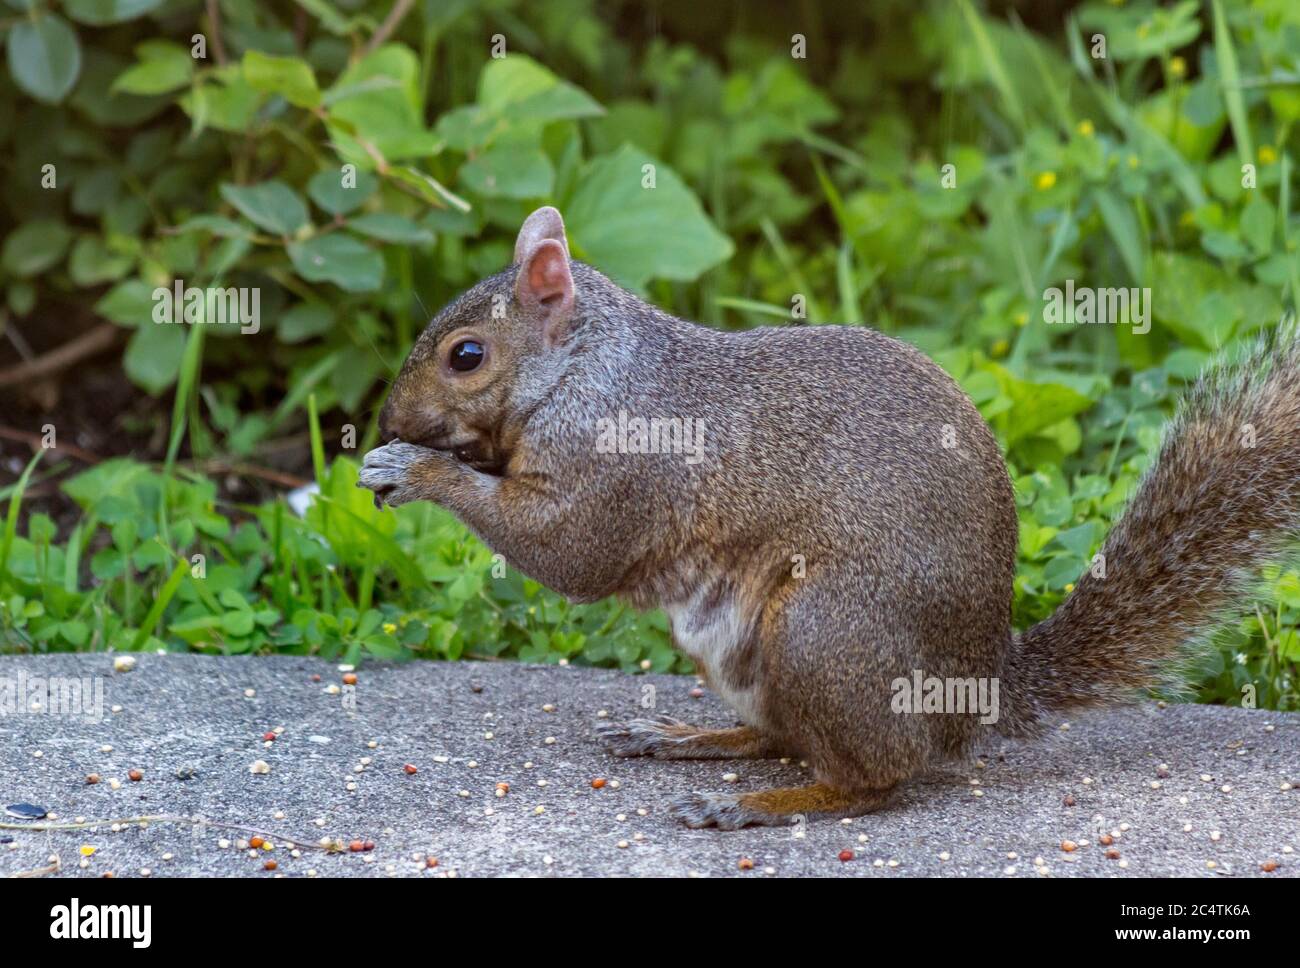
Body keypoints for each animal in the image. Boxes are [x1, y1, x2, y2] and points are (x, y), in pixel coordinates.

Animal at [361, 205, 1300, 829]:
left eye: (466, 356)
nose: (387, 420)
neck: (587, 370)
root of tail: (978, 690)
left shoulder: (621, 465)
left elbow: (566, 551)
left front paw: (416, 470)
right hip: (747, 649)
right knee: (782, 735)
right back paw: (688, 737)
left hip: (824, 631)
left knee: (874, 777)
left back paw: (764, 804)